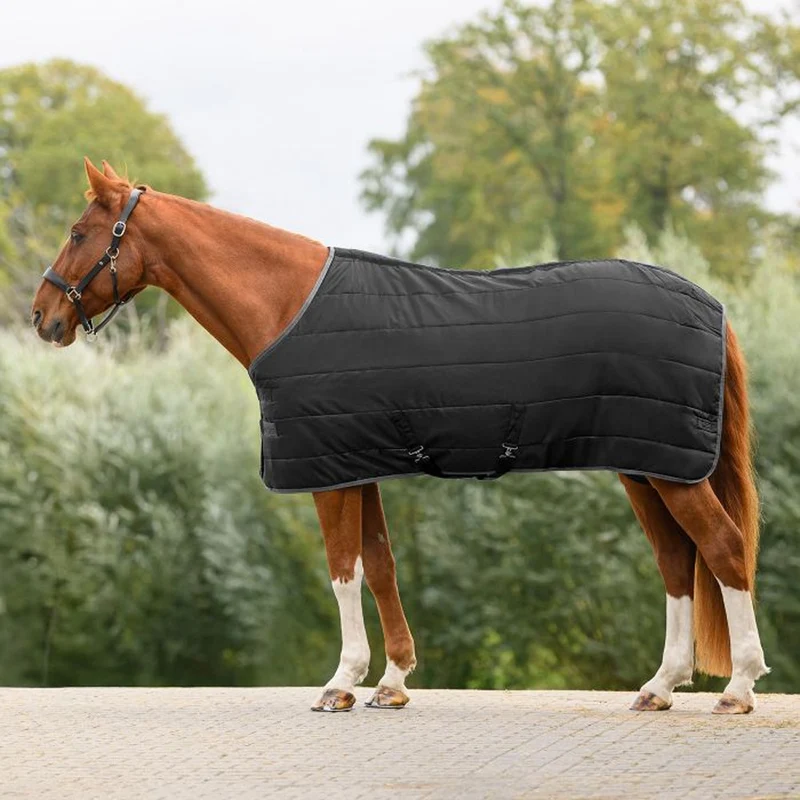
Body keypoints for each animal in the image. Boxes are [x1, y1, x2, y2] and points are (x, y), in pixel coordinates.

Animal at [31, 159, 769, 714]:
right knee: (677, 562)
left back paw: (737, 687)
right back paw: (659, 687)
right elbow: (380, 565)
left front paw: (341, 682)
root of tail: (712, 306)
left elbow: (343, 570)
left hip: (670, 470)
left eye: (78, 231)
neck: (288, 305)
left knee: (723, 548)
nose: (42, 317)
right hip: (646, 466)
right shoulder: (358, 467)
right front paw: (392, 682)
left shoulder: (329, 474)